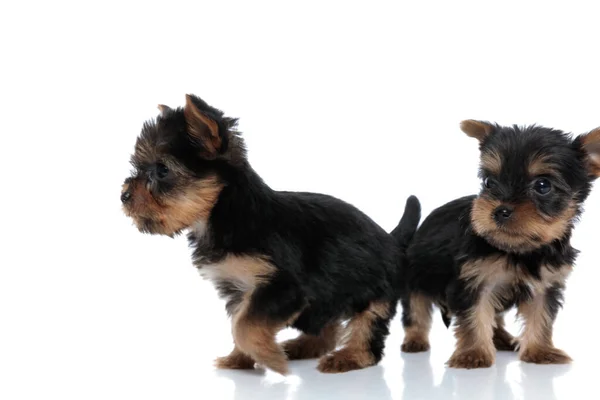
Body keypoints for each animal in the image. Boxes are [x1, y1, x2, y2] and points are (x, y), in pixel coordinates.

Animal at [120, 94, 422, 376]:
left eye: (162, 170)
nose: (124, 195)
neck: (224, 215)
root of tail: (391, 239)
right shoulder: (237, 288)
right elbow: (239, 320)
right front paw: (239, 359)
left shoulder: (283, 284)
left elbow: (245, 324)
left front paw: (270, 359)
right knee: (326, 323)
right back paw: (304, 346)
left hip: (377, 290)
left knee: (368, 327)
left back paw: (348, 357)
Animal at [400, 119, 600, 368]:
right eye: (489, 182)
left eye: (543, 185)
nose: (500, 210)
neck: (521, 251)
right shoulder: (474, 281)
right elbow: (474, 316)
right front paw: (473, 354)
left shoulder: (546, 283)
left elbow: (541, 315)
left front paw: (540, 351)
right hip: (416, 275)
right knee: (416, 309)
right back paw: (415, 340)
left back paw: (502, 339)